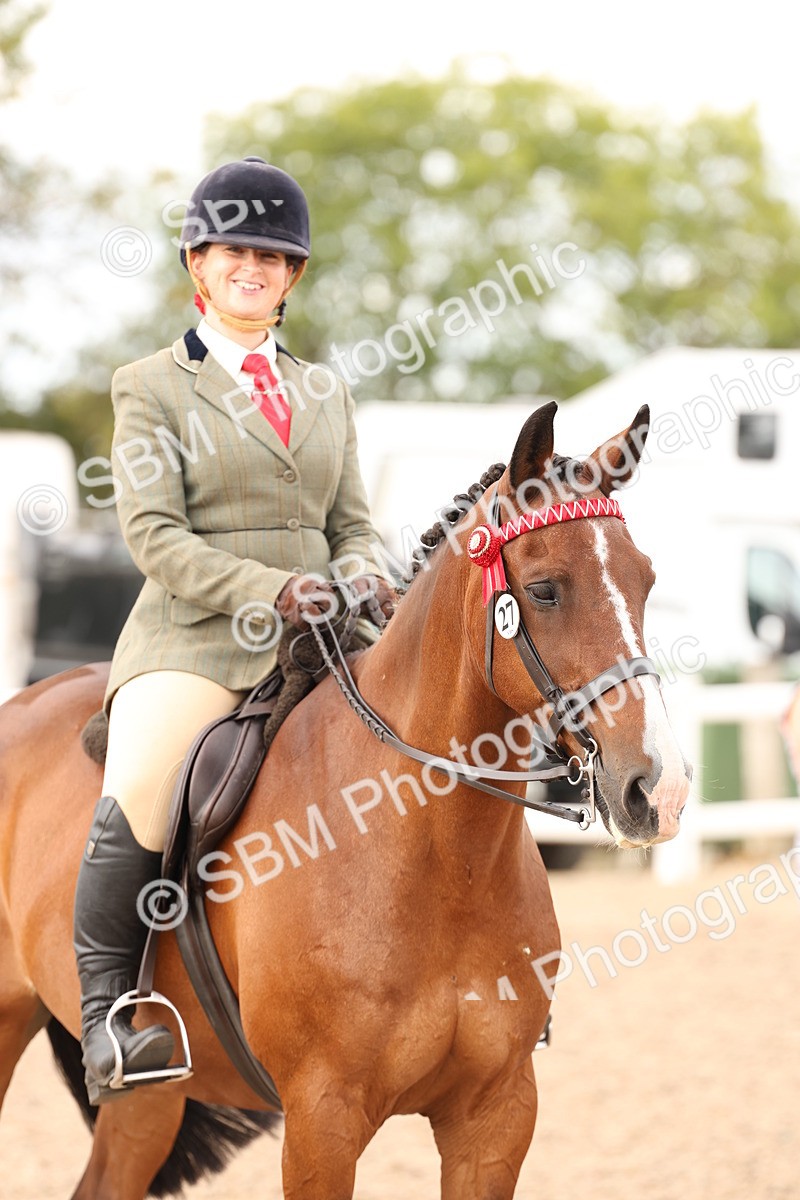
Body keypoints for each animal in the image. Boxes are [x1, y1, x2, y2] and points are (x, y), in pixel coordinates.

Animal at [0, 401, 690, 1199]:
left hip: (152, 1096)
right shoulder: (320, 1120)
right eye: (546, 588)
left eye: (646, 581)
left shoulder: (498, 1113)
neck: (434, 854)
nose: (660, 788)